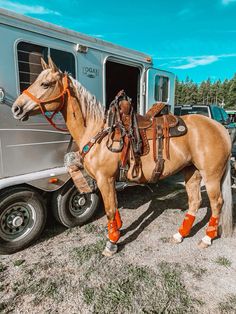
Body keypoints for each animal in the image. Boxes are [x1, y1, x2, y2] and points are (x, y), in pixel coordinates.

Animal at [12, 57, 232, 256]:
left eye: (45, 84)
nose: (16, 108)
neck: (98, 131)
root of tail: (219, 126)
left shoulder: (105, 179)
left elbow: (110, 210)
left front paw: (111, 244)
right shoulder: (108, 180)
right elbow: (115, 209)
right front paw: (117, 232)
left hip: (211, 176)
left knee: (216, 203)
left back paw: (207, 238)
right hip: (192, 172)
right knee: (195, 201)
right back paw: (180, 234)